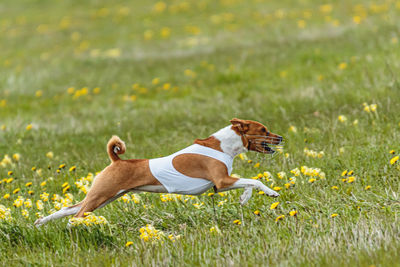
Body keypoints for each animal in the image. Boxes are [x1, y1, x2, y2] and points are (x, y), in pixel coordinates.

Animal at [35, 118, 284, 227]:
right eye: (264, 130)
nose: (280, 137)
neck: (223, 146)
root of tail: (117, 161)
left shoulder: (220, 184)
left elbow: (249, 183)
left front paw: (244, 198)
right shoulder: (222, 181)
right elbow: (254, 181)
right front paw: (270, 193)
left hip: (105, 197)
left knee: (68, 209)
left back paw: (40, 221)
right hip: (101, 196)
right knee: (75, 215)